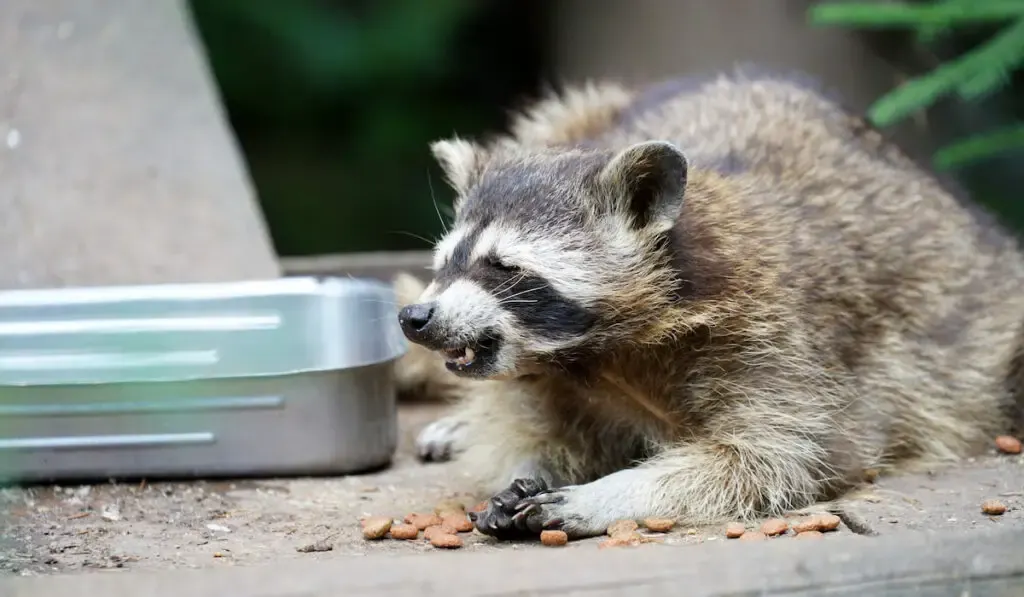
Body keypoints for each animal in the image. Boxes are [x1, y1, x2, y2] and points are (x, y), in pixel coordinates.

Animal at [389, 67, 1024, 540]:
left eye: (504, 268)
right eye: (445, 264)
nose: (414, 318)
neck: (595, 357)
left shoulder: (784, 347)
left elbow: (773, 458)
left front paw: (610, 494)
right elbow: (533, 431)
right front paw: (529, 470)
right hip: (577, 112)